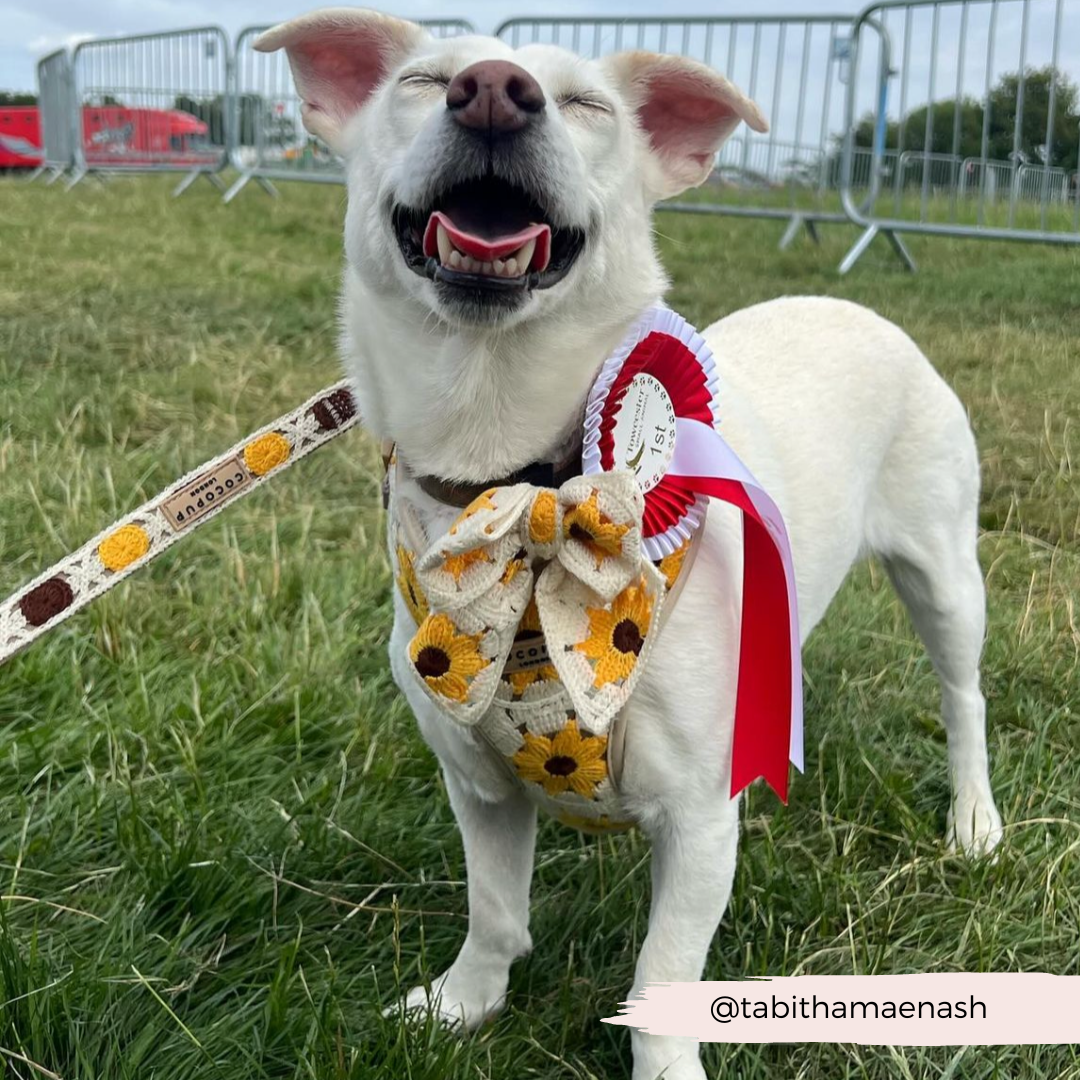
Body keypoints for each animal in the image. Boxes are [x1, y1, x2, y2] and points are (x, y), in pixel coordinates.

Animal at [259, 12, 1002, 1075]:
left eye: (586, 104)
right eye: (424, 81)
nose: (494, 92)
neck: (522, 487)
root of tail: (852, 306)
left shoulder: (697, 820)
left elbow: (663, 974)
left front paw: (662, 1065)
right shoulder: (478, 786)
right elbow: (494, 911)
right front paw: (466, 1002)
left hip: (944, 576)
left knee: (963, 696)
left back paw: (973, 818)